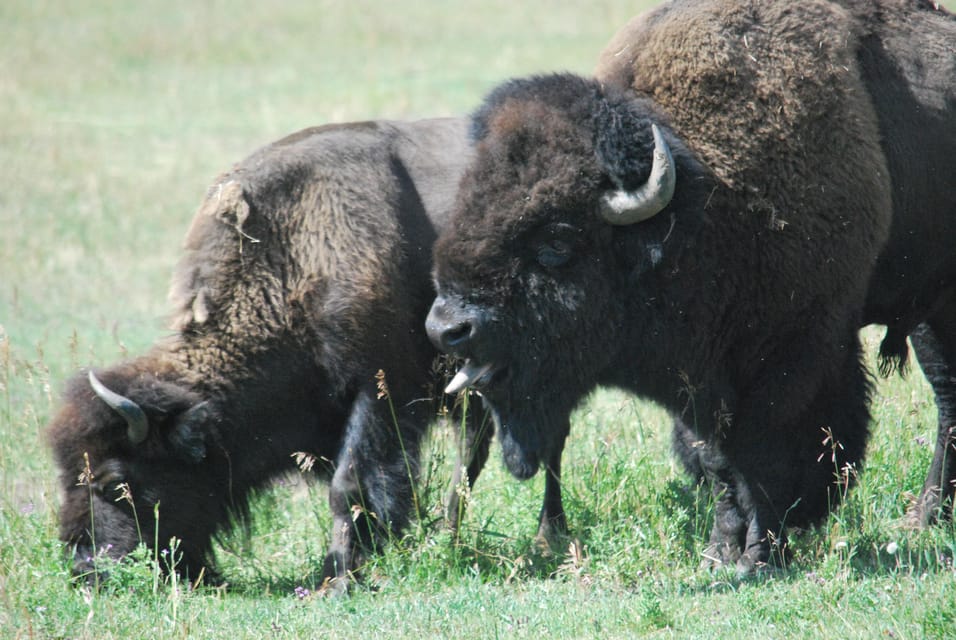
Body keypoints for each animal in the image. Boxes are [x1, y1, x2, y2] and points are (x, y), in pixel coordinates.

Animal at [44, 117, 504, 592]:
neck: (293, 251)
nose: (85, 568)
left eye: (117, 481)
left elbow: (349, 486)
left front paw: (338, 576)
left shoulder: (379, 391)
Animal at [430, 0, 956, 576]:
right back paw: (927, 519)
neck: (703, 203)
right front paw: (720, 552)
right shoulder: (698, 384)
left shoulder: (795, 356)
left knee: (946, 399)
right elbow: (718, 462)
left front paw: (761, 556)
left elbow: (768, 454)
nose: (447, 328)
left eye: (556, 241)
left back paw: (923, 519)